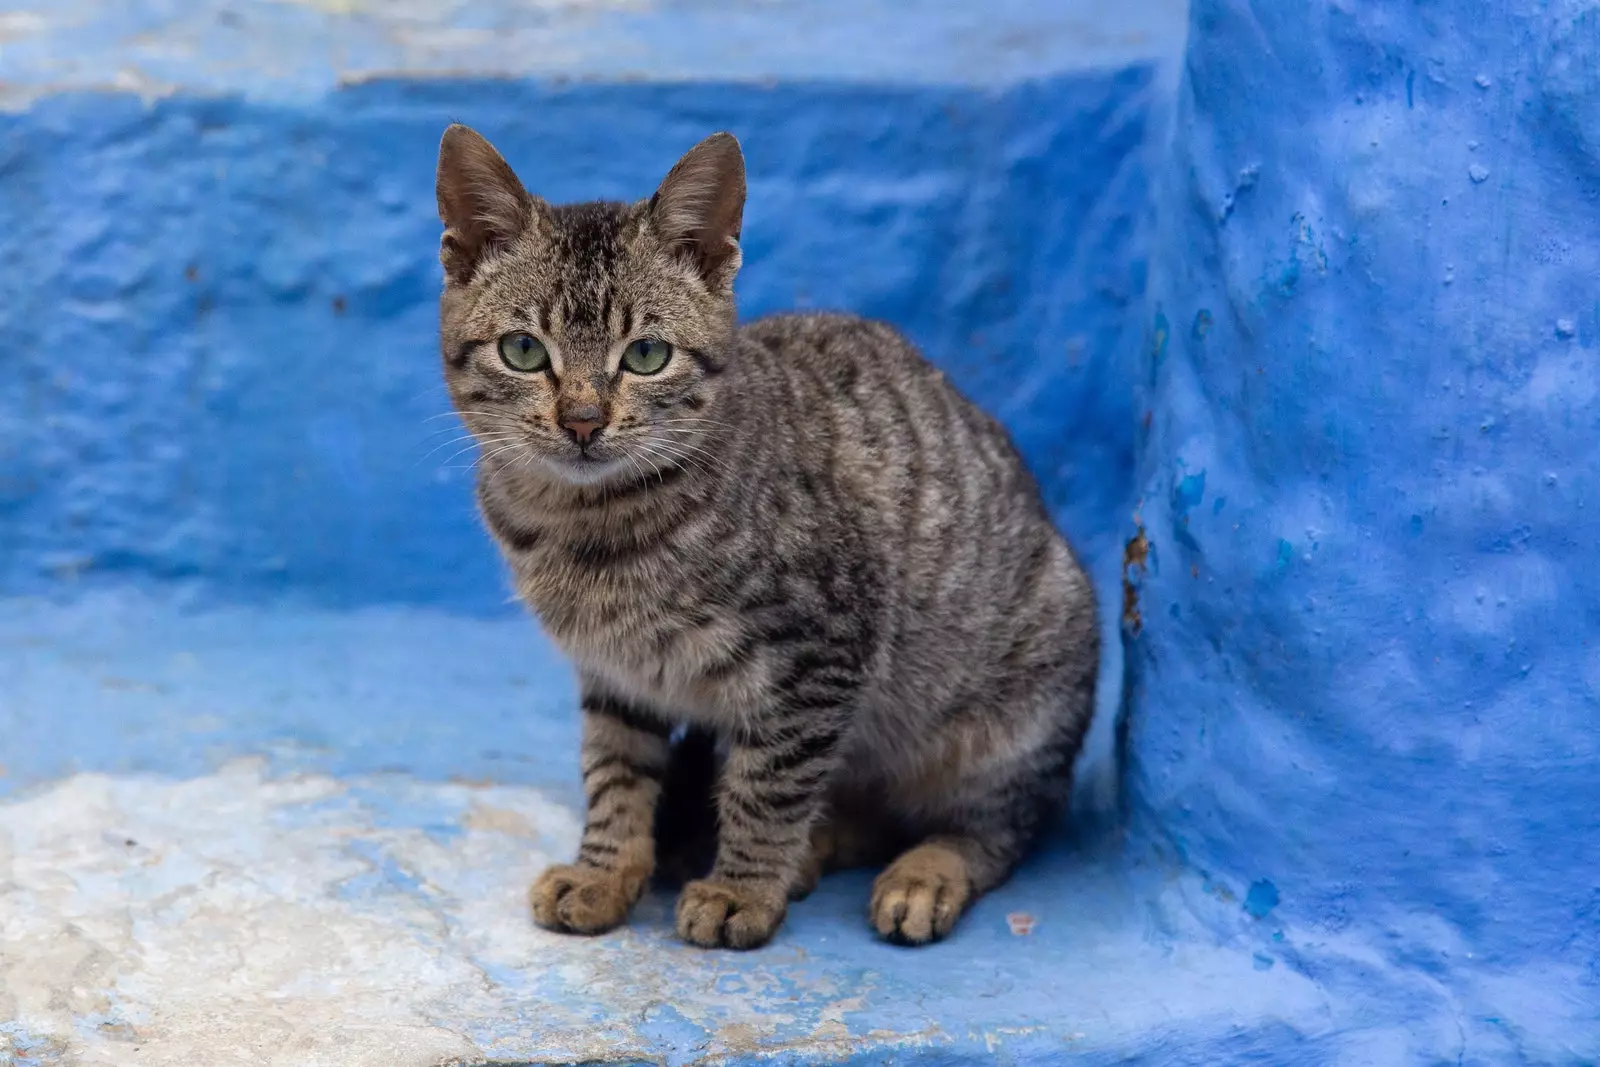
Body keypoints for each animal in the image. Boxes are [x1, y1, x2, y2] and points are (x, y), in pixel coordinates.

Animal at [438, 125, 1100, 953]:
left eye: (646, 355)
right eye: (524, 351)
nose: (583, 420)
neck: (586, 524)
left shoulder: (818, 654)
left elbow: (770, 782)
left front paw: (741, 888)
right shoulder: (616, 673)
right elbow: (615, 772)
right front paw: (605, 870)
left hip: (1018, 706)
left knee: (1002, 823)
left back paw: (924, 873)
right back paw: (818, 846)